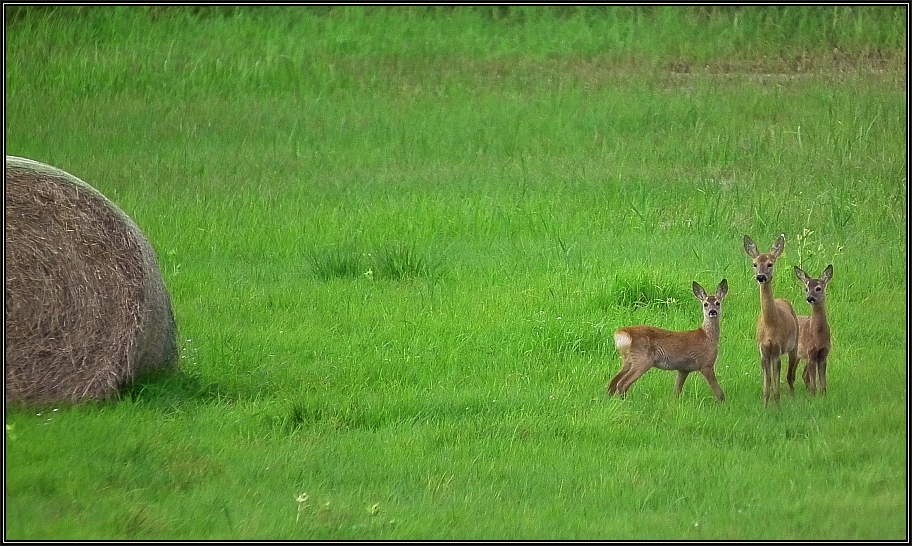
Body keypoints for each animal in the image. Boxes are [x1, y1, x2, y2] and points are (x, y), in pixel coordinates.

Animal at [744, 232, 800, 406]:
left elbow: (776, 388)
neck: (770, 326)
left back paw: (793, 397)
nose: (761, 277)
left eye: (770, 264)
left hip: (794, 345)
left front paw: (779, 407)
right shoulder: (763, 351)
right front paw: (765, 407)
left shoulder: (777, 350)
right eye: (755, 264)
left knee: (790, 375)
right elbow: (766, 387)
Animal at [796, 262, 832, 394]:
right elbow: (813, 383)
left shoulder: (823, 354)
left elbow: (823, 382)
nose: (810, 298)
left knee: (803, 375)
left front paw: (823, 394)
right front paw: (813, 394)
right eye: (806, 289)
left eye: (818, 288)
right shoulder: (810, 353)